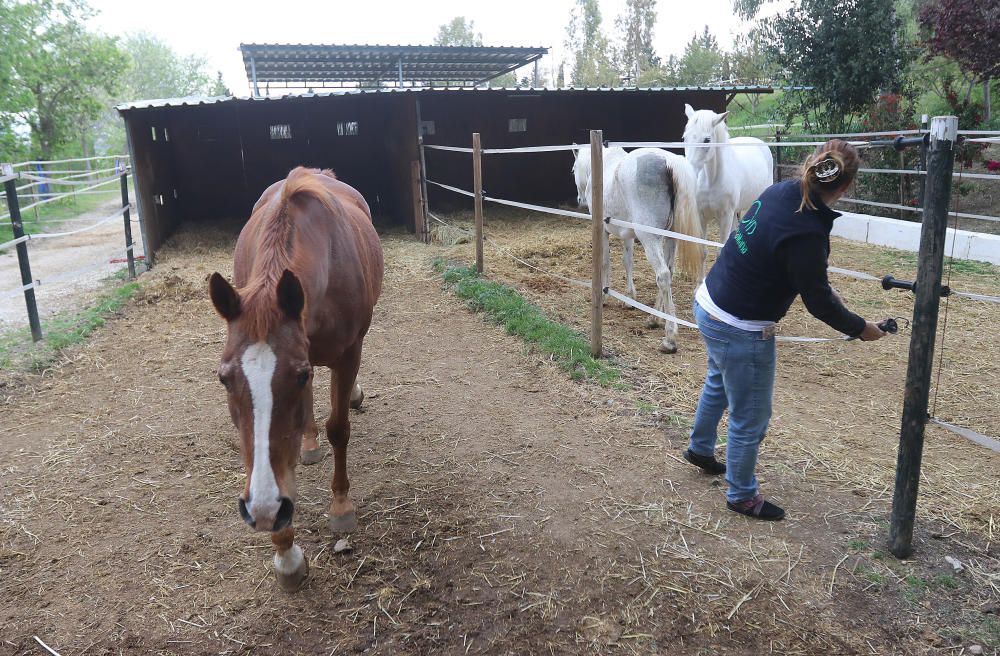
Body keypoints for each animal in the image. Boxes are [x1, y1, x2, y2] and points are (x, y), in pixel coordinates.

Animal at [209, 167, 384, 592]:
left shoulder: (347, 353)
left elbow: (339, 428)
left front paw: (341, 506)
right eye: (223, 378)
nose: (263, 510)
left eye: (299, 375)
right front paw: (286, 552)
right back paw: (308, 442)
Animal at [572, 144, 704, 354]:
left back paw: (670, 338)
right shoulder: (628, 236)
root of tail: (669, 163)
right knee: (669, 272)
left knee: (663, 275)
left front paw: (604, 295)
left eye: (573, 169)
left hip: (650, 238)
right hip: (670, 238)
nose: (579, 199)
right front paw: (629, 299)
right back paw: (654, 319)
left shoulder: (603, 231)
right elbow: (628, 262)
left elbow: (605, 262)